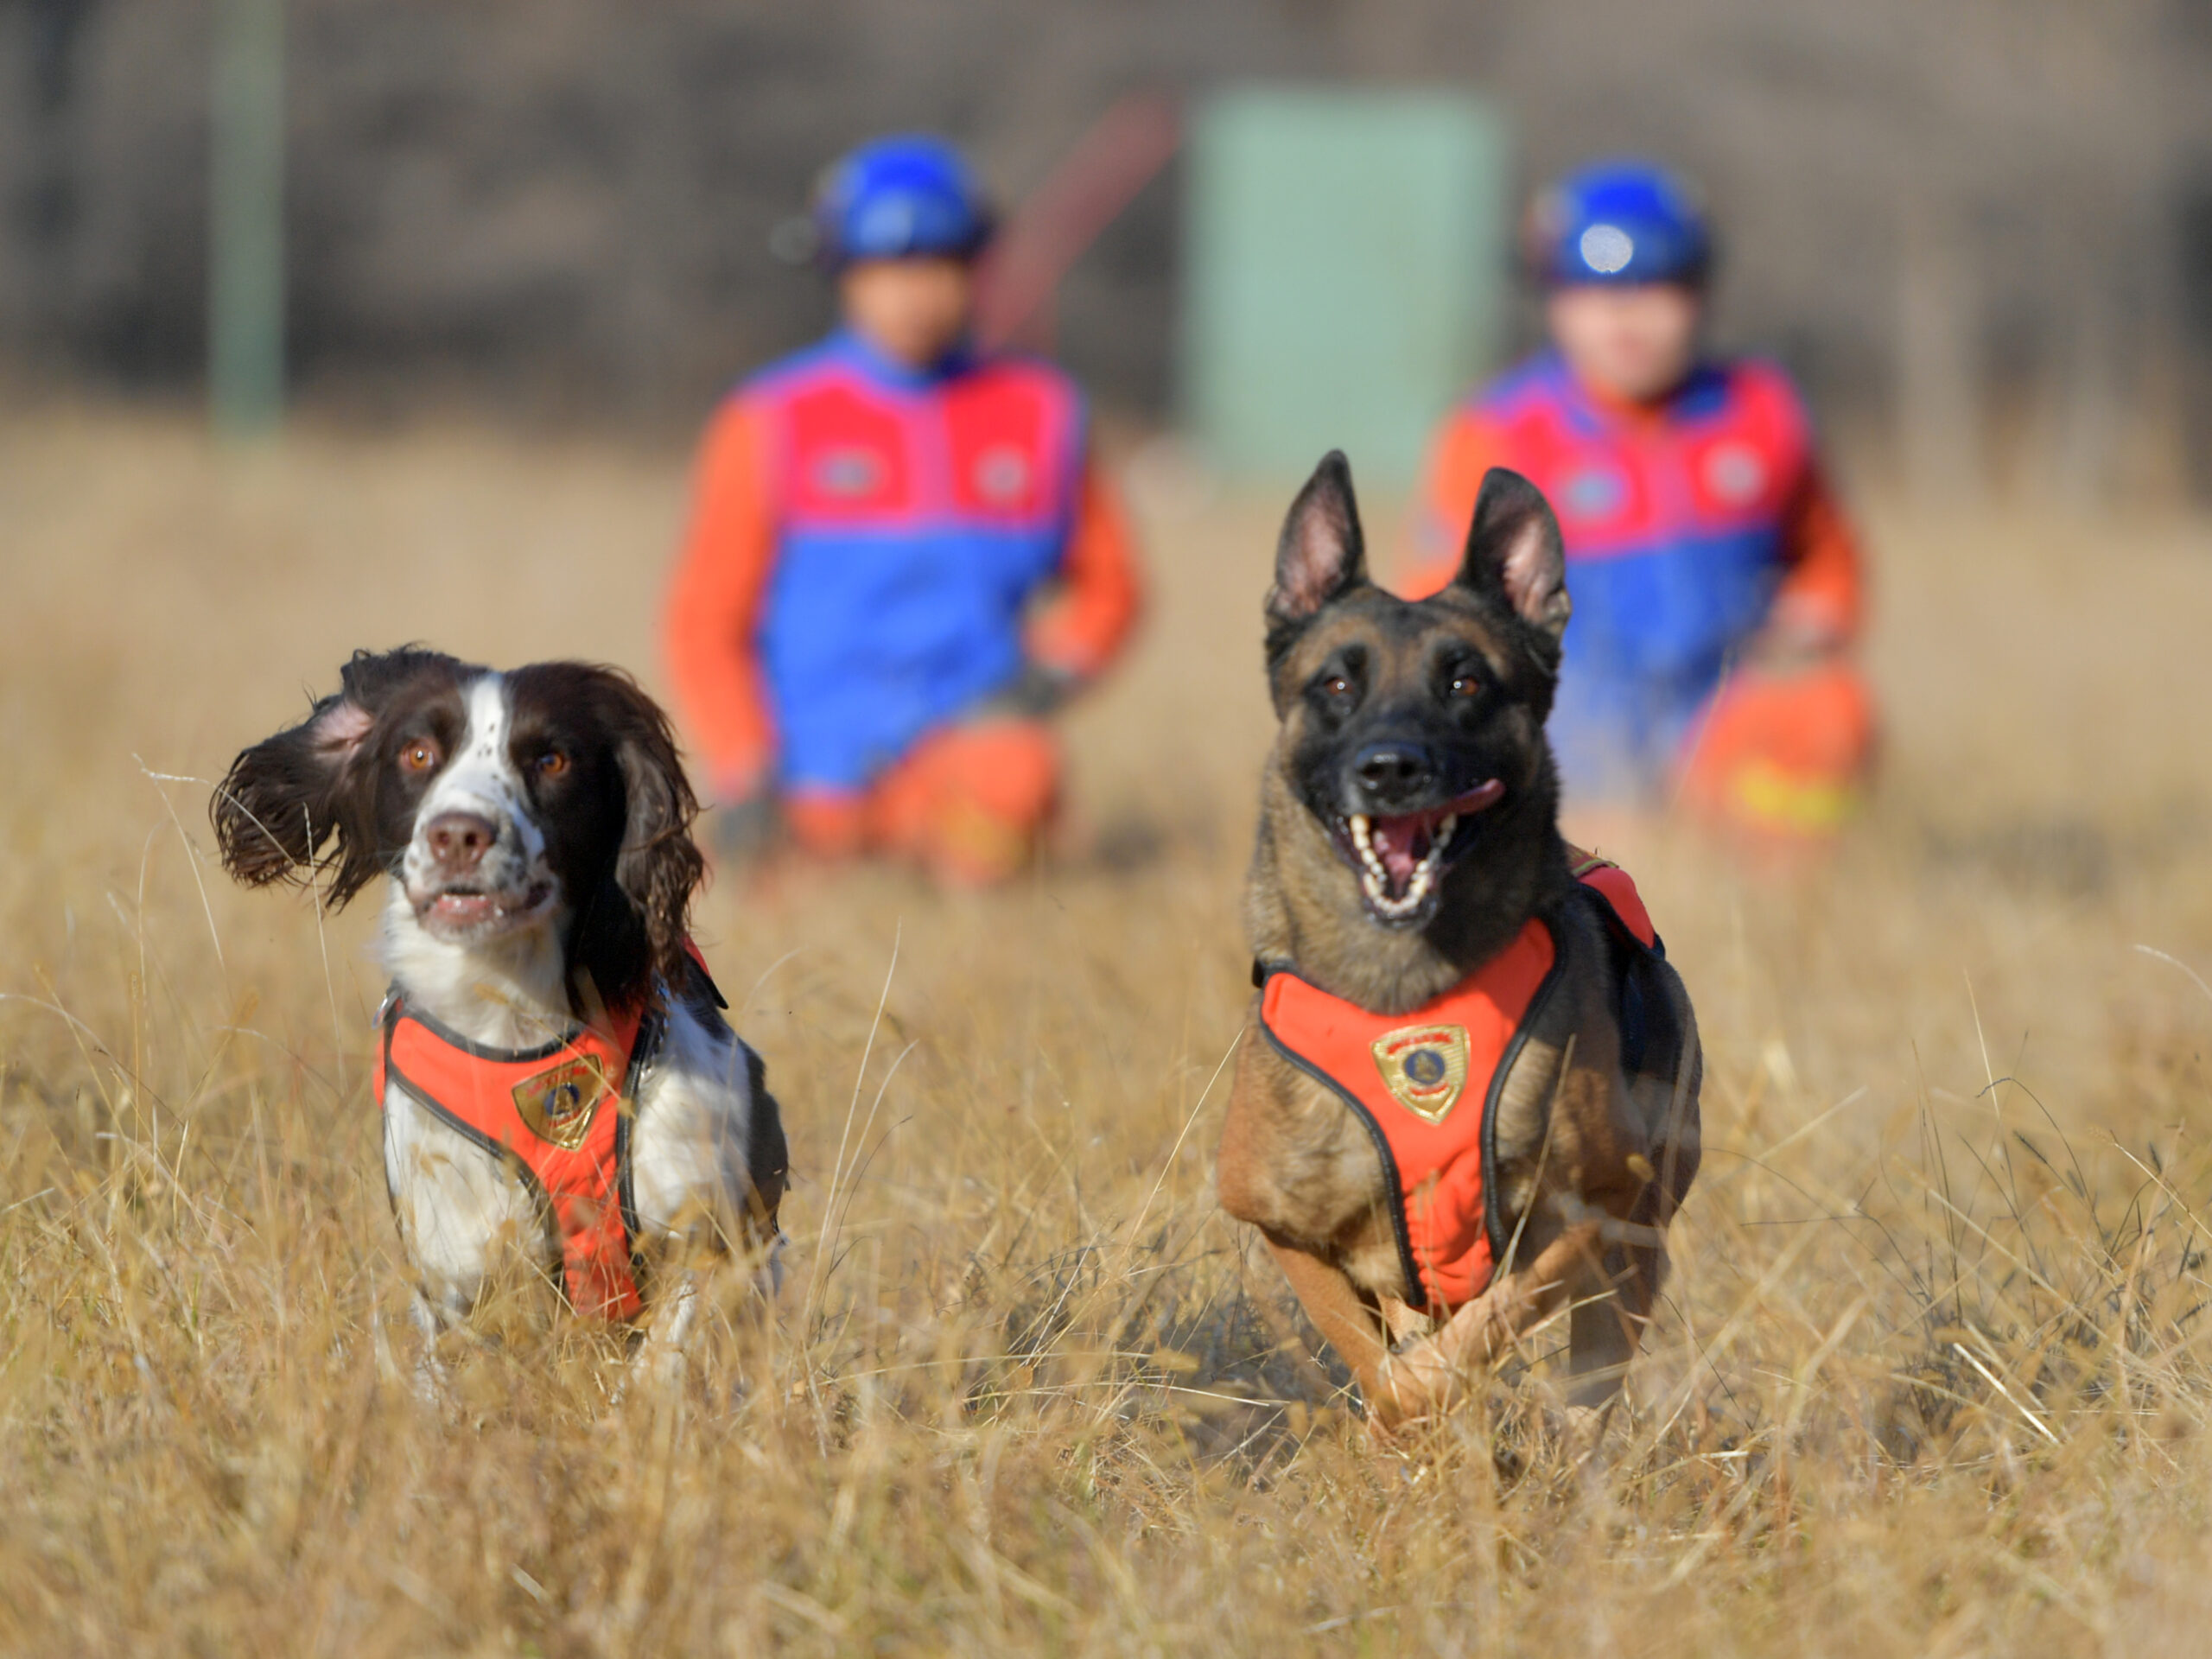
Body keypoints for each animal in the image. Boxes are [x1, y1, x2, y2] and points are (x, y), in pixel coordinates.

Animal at [215, 650, 787, 1389]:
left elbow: (664, 1361)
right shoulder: (456, 1266)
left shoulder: (708, 1233)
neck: (516, 1022)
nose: (458, 834)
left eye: (551, 759)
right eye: (418, 752)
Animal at [1221, 451, 1699, 1433]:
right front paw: (1415, 1421)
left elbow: (1469, 1339)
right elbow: (1383, 1366)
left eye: (1464, 682)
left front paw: (1447, 1407)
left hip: (1632, 1264)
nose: (1391, 769)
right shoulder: (1282, 1226)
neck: (1406, 995)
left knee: (1586, 1388)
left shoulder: (1594, 1209)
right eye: (1336, 685)